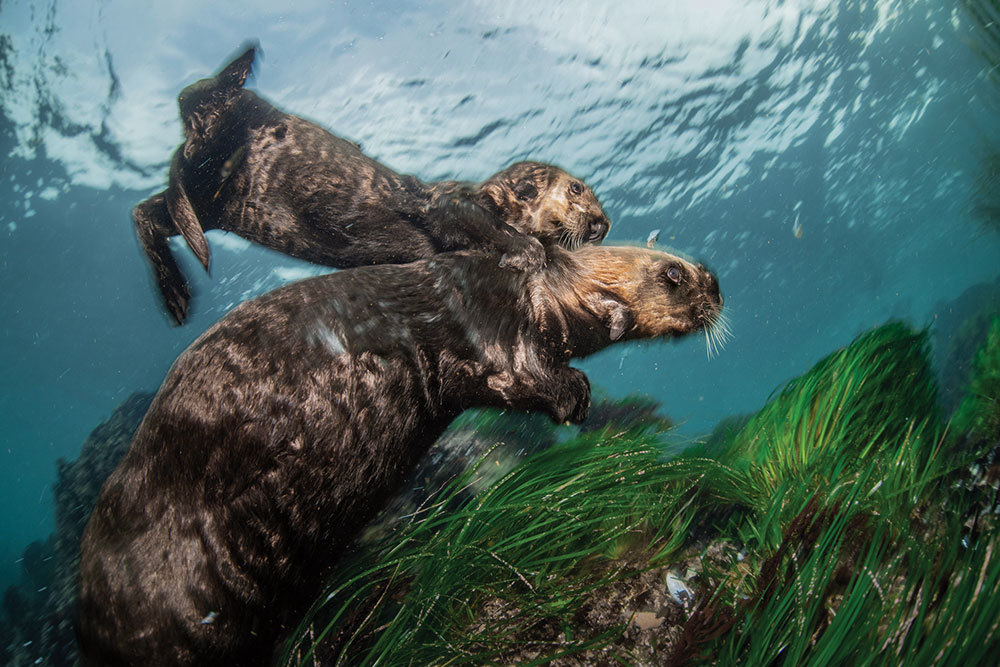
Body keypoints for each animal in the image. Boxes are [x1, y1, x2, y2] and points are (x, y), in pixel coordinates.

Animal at [135, 43, 608, 324]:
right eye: (577, 190)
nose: (602, 223)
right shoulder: (450, 201)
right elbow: (480, 221)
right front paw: (525, 251)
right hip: (220, 135)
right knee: (195, 114)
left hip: (214, 202)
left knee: (147, 210)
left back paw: (175, 293)